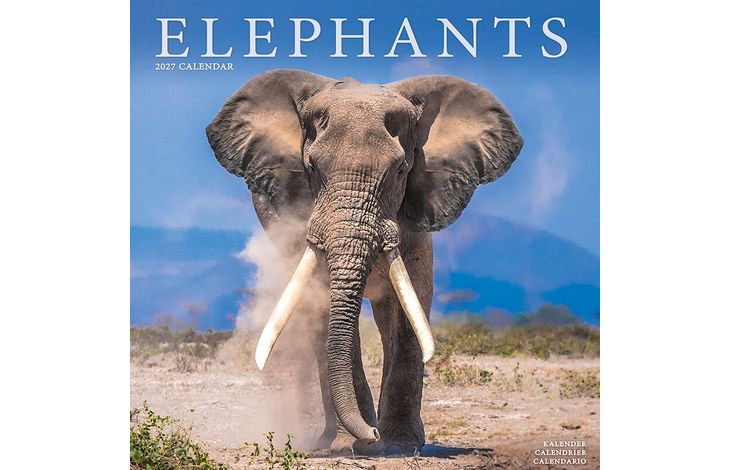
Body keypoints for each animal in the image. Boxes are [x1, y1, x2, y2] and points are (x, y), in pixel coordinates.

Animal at [206, 70, 523, 454]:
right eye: (311, 168)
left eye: (401, 170)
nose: (370, 435)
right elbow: (325, 307)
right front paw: (350, 445)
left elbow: (411, 303)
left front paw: (399, 445)